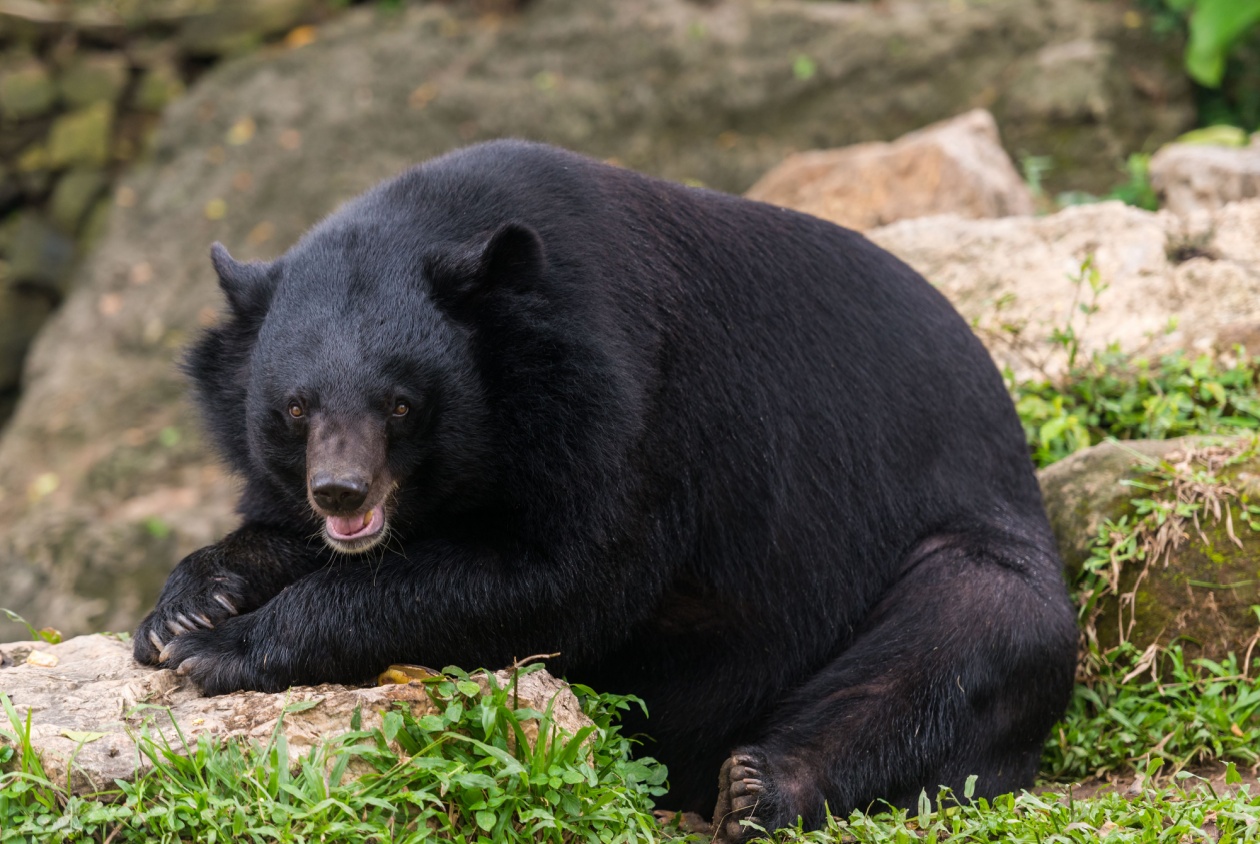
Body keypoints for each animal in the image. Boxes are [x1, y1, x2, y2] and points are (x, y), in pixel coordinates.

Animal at [134, 139, 1077, 842]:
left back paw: (757, 786)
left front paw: (224, 650)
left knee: (961, 635)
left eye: (400, 404)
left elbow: (566, 579)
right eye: (294, 407)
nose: (340, 493)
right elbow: (276, 534)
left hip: (965, 541)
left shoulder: (623, 402)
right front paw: (183, 612)